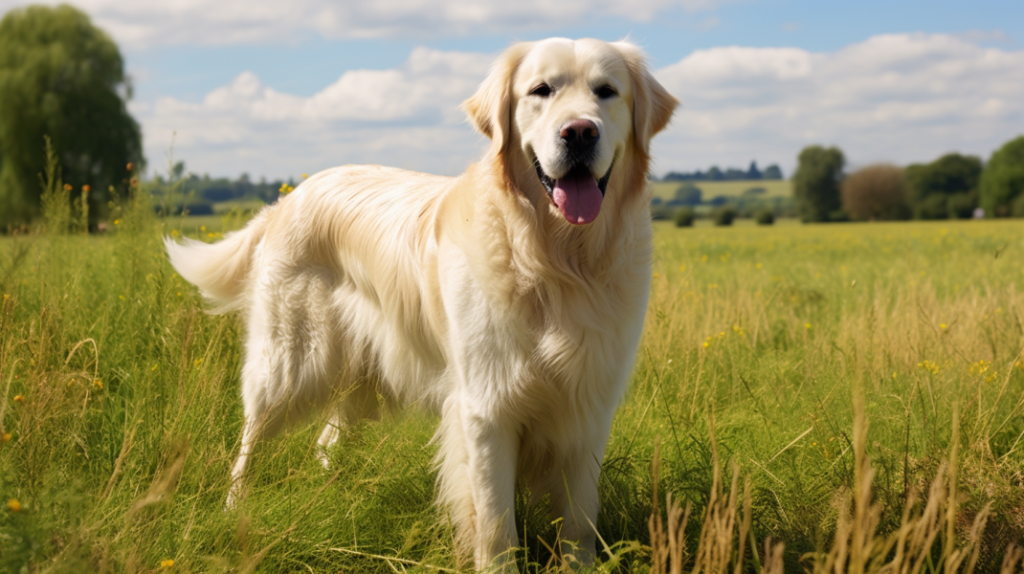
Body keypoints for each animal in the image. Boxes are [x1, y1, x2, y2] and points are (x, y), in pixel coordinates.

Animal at [166, 36, 675, 568]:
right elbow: (495, 523)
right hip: (291, 363)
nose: (579, 132)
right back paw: (234, 510)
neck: (556, 260)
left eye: (606, 91)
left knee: (328, 440)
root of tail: (289, 196)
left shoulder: (589, 406)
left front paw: (581, 567)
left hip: (362, 376)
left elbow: (578, 521)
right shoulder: (486, 408)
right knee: (250, 443)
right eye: (541, 90)